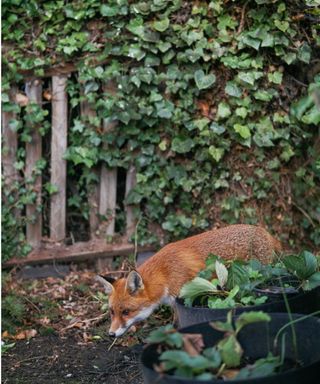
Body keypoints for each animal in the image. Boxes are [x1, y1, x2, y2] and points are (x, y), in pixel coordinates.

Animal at [96, 224, 282, 338]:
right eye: (112, 312)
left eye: (126, 312)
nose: (110, 334)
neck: (165, 274)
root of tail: (264, 232)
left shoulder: (181, 298)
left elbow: (178, 324)